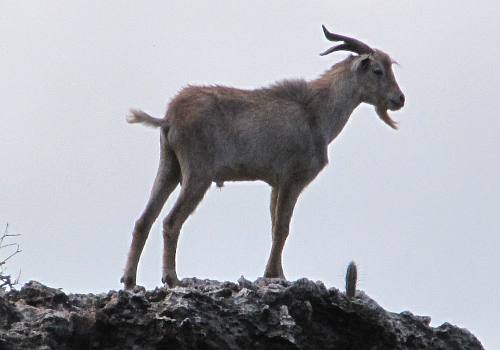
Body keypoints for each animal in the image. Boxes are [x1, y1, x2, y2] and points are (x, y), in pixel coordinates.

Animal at [121, 25, 406, 290]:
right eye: (377, 70)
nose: (399, 99)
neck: (316, 113)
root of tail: (168, 118)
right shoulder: (293, 179)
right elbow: (282, 228)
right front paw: (273, 275)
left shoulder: (275, 183)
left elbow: (275, 227)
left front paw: (278, 274)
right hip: (197, 173)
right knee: (170, 221)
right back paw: (171, 279)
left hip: (169, 166)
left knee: (143, 220)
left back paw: (129, 281)